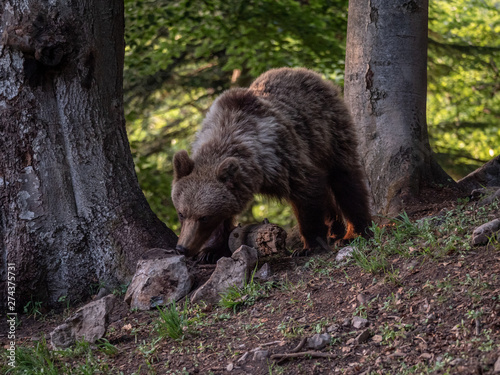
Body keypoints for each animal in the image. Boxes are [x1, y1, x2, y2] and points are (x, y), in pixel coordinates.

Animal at [172, 67, 372, 262]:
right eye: (181, 213)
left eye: (204, 217)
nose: (182, 248)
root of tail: (305, 71)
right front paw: (210, 251)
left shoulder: (281, 159)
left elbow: (307, 192)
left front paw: (307, 246)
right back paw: (335, 230)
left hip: (328, 131)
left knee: (346, 180)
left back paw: (353, 233)